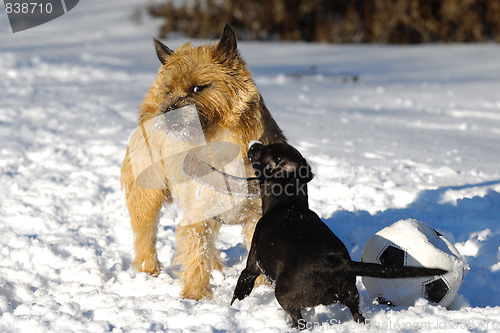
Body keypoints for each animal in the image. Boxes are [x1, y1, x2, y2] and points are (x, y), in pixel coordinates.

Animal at [120, 23, 286, 298]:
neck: (220, 144)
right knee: (145, 235)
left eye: (198, 88)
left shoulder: (255, 216)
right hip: (147, 197)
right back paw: (149, 270)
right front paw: (195, 295)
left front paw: (262, 289)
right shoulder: (196, 213)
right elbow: (195, 252)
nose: (168, 111)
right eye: (169, 90)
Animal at [232, 142, 448, 326]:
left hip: (284, 294)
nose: (254, 145)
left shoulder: (251, 269)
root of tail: (337, 264)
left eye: (266, 151)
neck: (288, 204)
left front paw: (233, 308)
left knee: (300, 321)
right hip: (351, 295)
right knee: (358, 315)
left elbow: (239, 292)